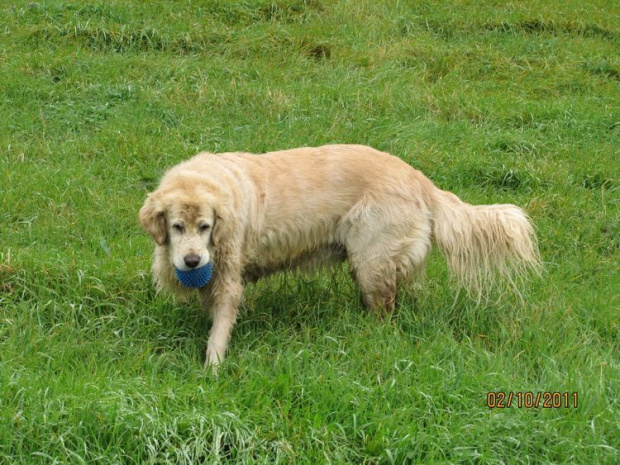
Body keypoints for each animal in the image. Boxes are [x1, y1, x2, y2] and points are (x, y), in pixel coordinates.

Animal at [139, 145, 536, 366]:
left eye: (205, 227)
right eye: (177, 227)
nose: (192, 263)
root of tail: (417, 177)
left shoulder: (228, 276)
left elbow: (221, 326)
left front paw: (213, 365)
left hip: (372, 261)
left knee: (384, 311)